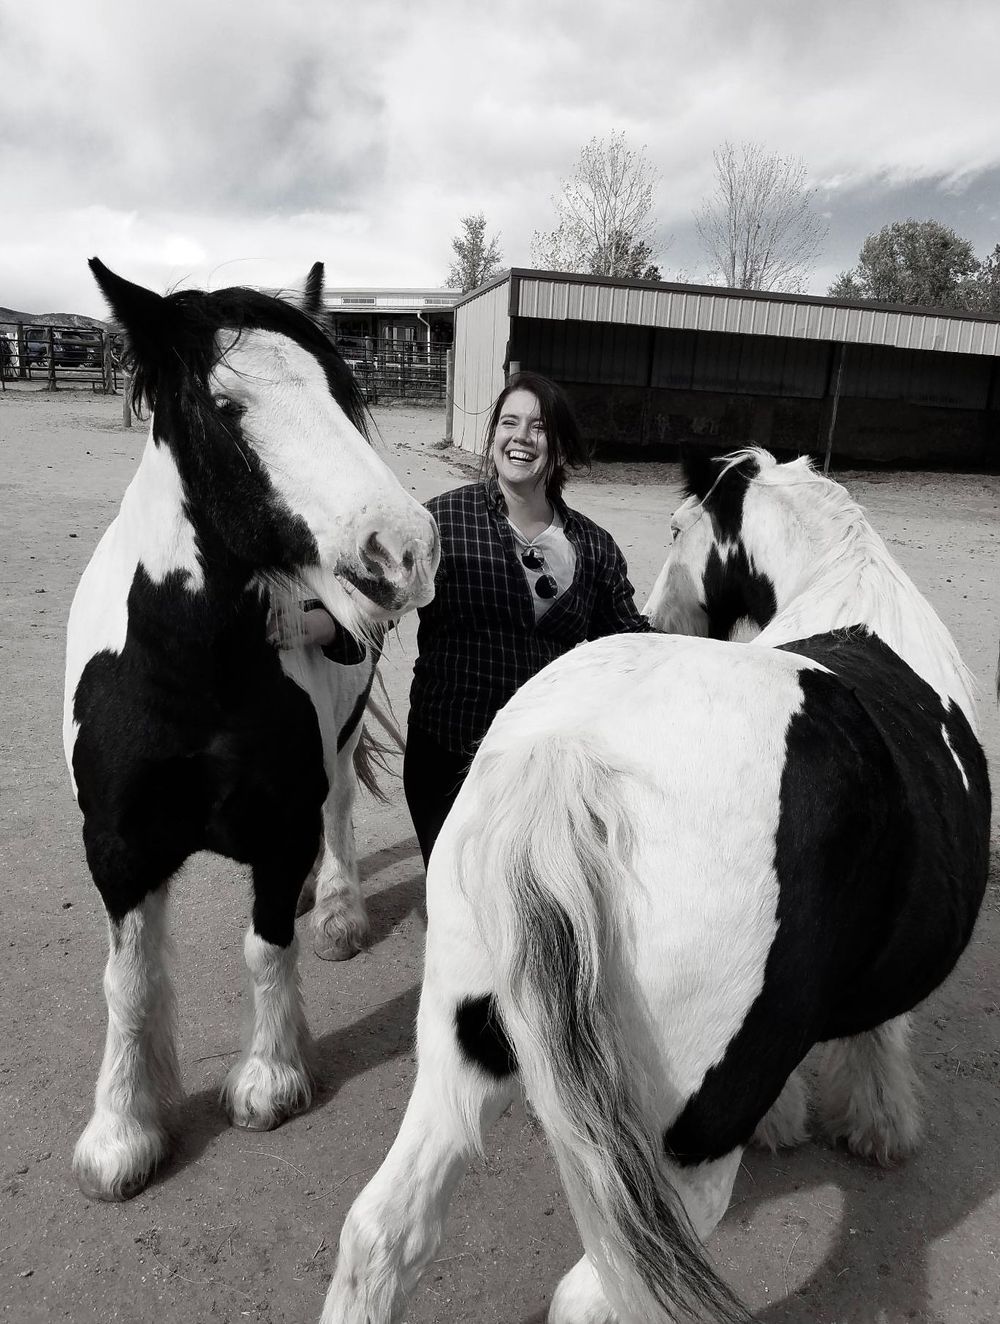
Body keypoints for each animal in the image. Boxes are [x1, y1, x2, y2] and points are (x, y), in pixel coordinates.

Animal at [62, 258, 437, 1202]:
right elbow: (129, 981)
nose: (404, 550)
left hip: (338, 744)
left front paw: (269, 1080)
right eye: (227, 407)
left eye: (343, 392)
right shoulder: (117, 849)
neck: (186, 681)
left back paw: (333, 909)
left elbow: (266, 948)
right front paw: (123, 1131)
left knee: (339, 811)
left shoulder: (280, 822)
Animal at [323, 447, 996, 1324]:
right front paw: (878, 1123)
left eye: (676, 529)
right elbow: (880, 1029)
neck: (855, 594)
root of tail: (569, 756)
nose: (652, 613)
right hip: (685, 1156)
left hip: (460, 1058)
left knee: (381, 1232)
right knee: (596, 1295)